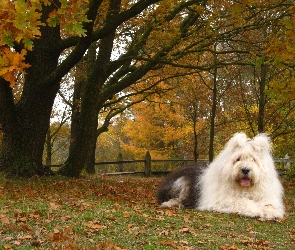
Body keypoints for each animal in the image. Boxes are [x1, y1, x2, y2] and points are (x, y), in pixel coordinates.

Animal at [158, 133, 286, 219]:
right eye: (238, 159)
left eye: (253, 159)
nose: (245, 169)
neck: (244, 189)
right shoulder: (222, 200)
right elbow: (240, 201)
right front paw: (254, 210)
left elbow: (267, 204)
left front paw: (272, 212)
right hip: (181, 183)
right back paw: (171, 203)